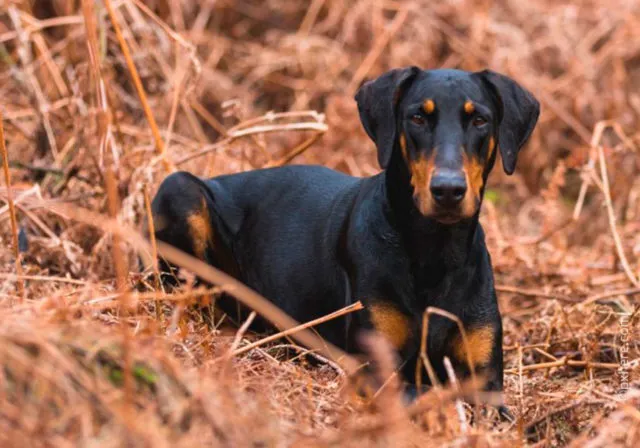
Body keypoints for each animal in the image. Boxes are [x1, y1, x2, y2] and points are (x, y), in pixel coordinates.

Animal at [150, 66, 540, 412]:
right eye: (417, 117)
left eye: (480, 120)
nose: (447, 190)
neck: (435, 250)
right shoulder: (377, 366)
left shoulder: (486, 380)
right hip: (181, 190)